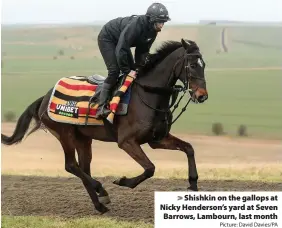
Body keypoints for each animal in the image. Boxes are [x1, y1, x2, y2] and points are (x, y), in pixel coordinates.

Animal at [1, 38, 208, 215]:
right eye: (192, 65)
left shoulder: (156, 139)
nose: (202, 96)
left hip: (83, 139)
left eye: (203, 65)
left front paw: (193, 183)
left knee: (84, 168)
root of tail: (45, 97)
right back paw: (101, 190)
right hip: (65, 134)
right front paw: (123, 181)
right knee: (71, 165)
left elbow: (189, 148)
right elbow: (150, 168)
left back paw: (100, 204)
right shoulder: (126, 141)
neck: (148, 95)